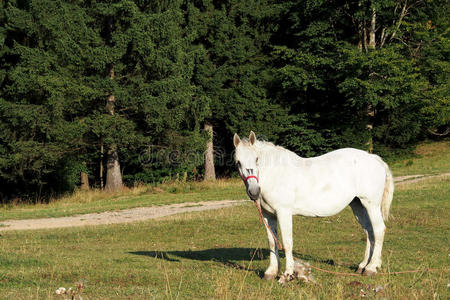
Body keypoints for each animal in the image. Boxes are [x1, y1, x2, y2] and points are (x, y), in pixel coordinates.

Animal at [232, 131, 394, 278]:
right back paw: (363, 266)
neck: (275, 174)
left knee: (378, 230)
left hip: (371, 205)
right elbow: (272, 242)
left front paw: (288, 274)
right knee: (369, 231)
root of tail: (374, 158)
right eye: (238, 162)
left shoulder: (283, 212)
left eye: (257, 159)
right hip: (358, 205)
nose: (254, 191)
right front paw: (271, 272)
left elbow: (287, 241)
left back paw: (371, 268)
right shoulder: (268, 215)